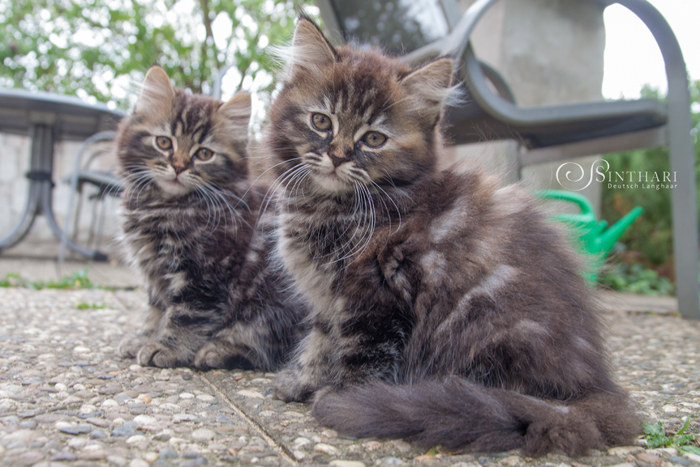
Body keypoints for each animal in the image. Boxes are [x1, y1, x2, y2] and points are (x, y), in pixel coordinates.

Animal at [116, 66, 308, 372]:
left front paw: (167, 348)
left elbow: (186, 315)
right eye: (163, 142)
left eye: (204, 154)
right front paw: (145, 337)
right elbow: (156, 309)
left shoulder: (206, 270)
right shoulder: (156, 274)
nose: (179, 166)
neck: (166, 205)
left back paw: (219, 351)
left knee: (276, 350)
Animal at [262, 17, 640, 458]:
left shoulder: (375, 293)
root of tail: (592, 384)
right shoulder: (327, 298)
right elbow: (321, 342)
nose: (338, 156)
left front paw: (344, 397)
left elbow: (362, 353)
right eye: (321, 121)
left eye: (374, 139)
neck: (331, 206)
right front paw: (301, 381)